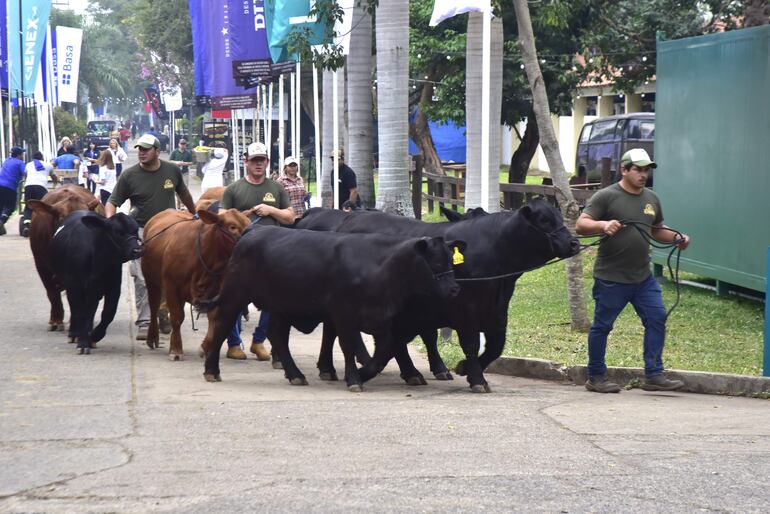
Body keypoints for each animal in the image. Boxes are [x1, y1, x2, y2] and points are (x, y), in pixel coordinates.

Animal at [48, 209, 144, 352]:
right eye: (117, 232)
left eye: (136, 230)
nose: (137, 250)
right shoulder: (75, 286)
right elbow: (81, 312)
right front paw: (82, 343)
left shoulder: (113, 287)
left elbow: (108, 312)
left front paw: (93, 336)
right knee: (76, 309)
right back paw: (74, 334)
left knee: (90, 310)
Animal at [142, 206, 250, 358]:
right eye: (232, 227)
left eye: (249, 224)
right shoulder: (171, 286)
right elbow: (176, 317)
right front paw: (175, 350)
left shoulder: (216, 291)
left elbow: (213, 317)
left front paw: (205, 348)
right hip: (151, 280)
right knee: (153, 306)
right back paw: (152, 337)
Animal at [200, 224, 462, 388]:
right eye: (435, 262)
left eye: (452, 261)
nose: (454, 289)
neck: (378, 267)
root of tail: (254, 229)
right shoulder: (345, 314)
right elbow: (349, 346)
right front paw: (355, 379)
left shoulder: (386, 320)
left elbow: (385, 353)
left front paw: (363, 373)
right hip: (235, 295)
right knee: (223, 324)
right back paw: (212, 370)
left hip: (280, 306)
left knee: (278, 336)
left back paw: (295, 375)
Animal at [296, 200, 580, 392]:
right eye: (545, 221)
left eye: (559, 217)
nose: (574, 243)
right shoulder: (464, 310)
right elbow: (471, 344)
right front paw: (477, 378)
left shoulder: (496, 313)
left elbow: (495, 346)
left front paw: (463, 368)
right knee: (337, 330)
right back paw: (332, 368)